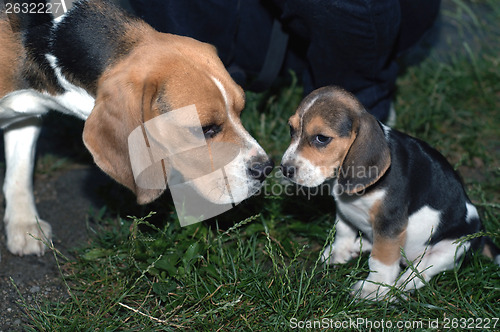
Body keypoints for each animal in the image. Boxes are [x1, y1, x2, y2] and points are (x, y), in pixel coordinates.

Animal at [0, 0, 274, 256]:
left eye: (240, 111)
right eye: (205, 129)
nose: (266, 169)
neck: (49, 35)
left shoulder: (27, 114)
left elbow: (20, 169)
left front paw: (23, 224)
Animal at [282, 87, 500, 300]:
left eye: (321, 138)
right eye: (291, 129)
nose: (285, 169)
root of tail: (481, 237)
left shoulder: (389, 222)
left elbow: (381, 259)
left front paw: (373, 288)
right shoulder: (343, 208)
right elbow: (343, 229)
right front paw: (339, 251)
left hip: (451, 247)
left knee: (422, 271)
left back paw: (401, 285)